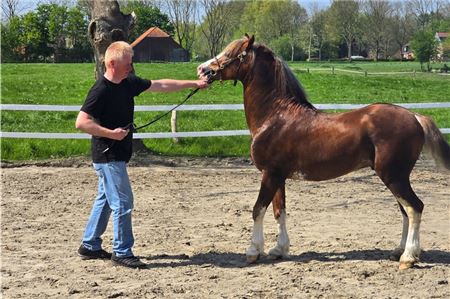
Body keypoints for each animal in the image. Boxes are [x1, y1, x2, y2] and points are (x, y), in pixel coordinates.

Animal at [199, 34, 450, 270]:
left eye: (233, 53)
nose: (203, 69)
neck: (275, 117)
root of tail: (415, 117)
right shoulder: (278, 176)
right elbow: (279, 211)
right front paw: (279, 249)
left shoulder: (269, 175)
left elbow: (258, 210)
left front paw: (253, 251)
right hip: (395, 177)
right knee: (406, 210)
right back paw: (399, 251)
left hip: (394, 176)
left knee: (414, 207)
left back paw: (408, 258)